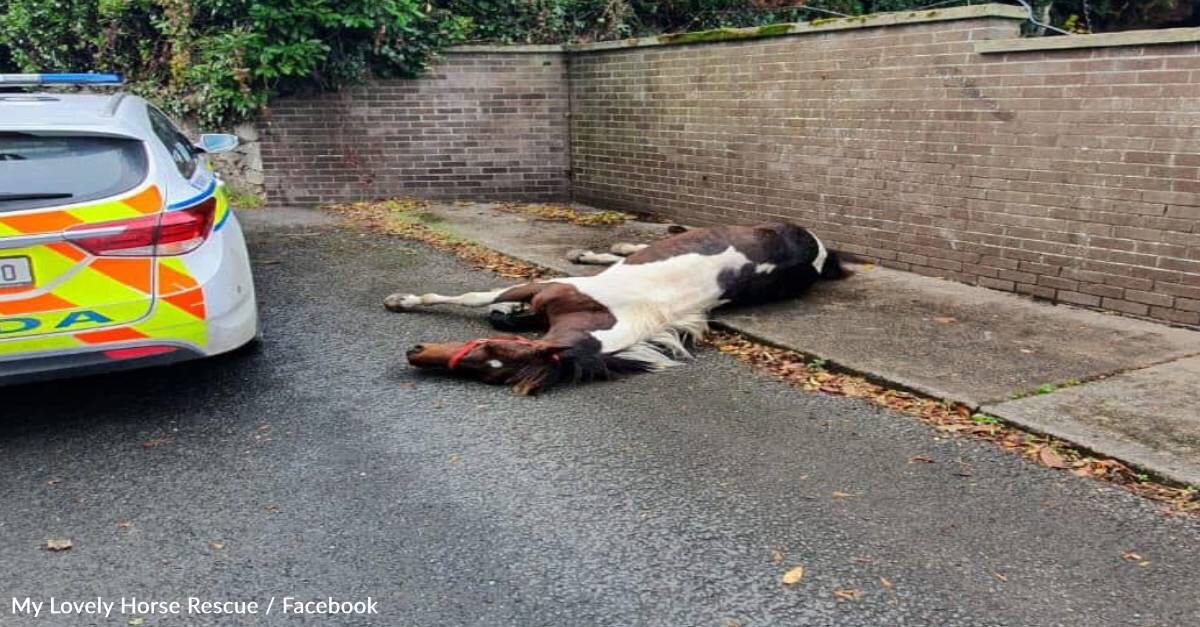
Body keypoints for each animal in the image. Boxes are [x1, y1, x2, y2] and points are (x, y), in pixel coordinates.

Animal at [388, 222, 849, 393]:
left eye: (490, 363)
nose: (414, 353)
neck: (603, 317)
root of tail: (817, 246)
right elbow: (480, 301)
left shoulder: (545, 288)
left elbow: (476, 299)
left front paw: (402, 300)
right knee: (638, 248)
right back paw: (596, 251)